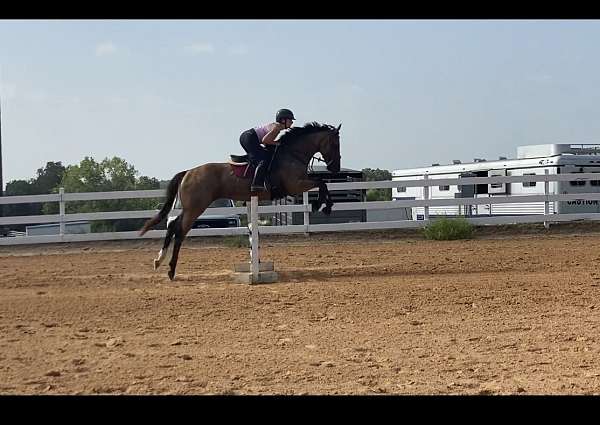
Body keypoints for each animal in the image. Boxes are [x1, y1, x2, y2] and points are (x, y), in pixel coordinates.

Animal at [138, 121, 340, 280]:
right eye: (335, 144)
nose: (335, 168)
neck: (292, 154)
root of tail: (188, 172)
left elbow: (322, 183)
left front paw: (323, 204)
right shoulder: (295, 185)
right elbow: (321, 183)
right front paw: (323, 205)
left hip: (191, 207)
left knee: (173, 226)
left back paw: (159, 261)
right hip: (196, 207)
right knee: (179, 231)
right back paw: (170, 270)